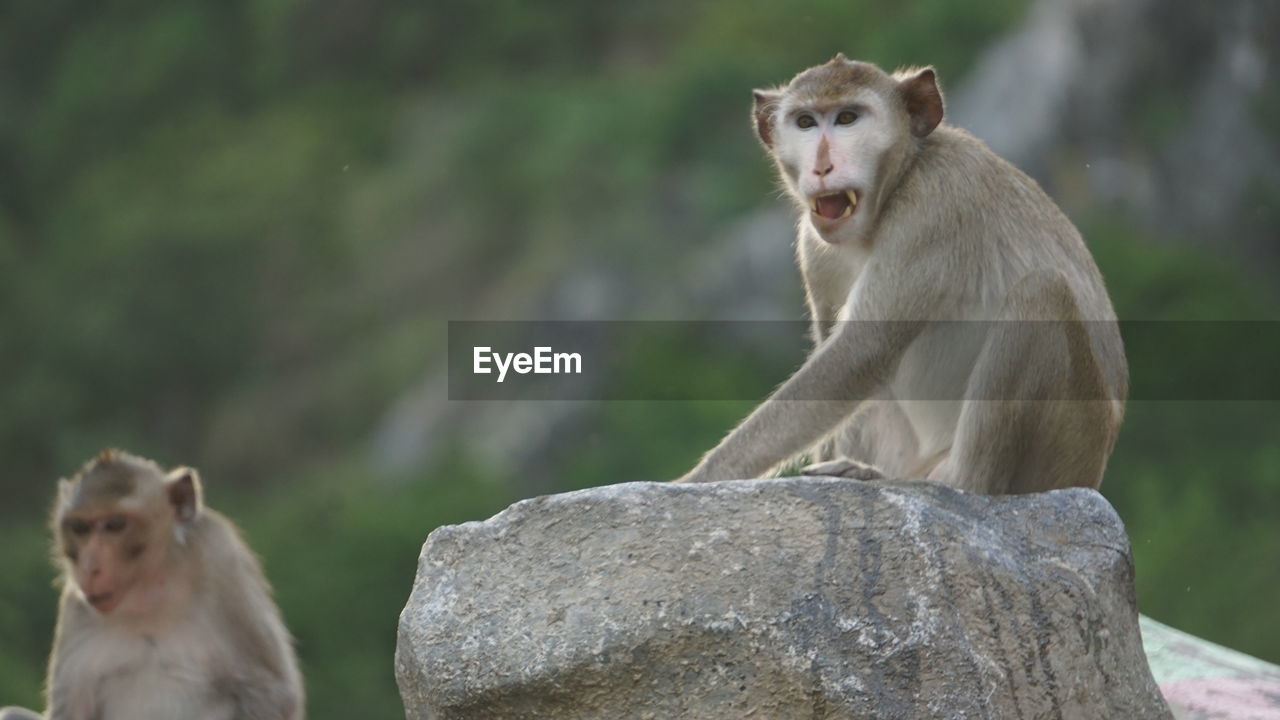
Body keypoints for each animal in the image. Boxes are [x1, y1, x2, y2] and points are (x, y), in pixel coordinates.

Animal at [0, 448, 304, 717]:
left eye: (115, 524)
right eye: (80, 528)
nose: (89, 567)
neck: (149, 592)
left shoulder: (221, 558)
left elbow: (271, 691)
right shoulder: (76, 605)